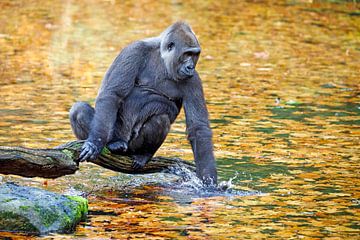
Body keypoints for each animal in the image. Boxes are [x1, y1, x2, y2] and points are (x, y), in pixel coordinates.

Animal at [69, 21, 218, 186]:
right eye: (187, 54)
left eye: (195, 54)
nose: (191, 66)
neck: (163, 60)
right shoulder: (135, 50)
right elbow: (112, 94)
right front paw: (95, 142)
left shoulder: (194, 80)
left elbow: (198, 128)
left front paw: (208, 181)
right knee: (78, 110)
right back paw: (113, 144)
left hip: (132, 148)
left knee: (160, 119)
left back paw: (144, 155)